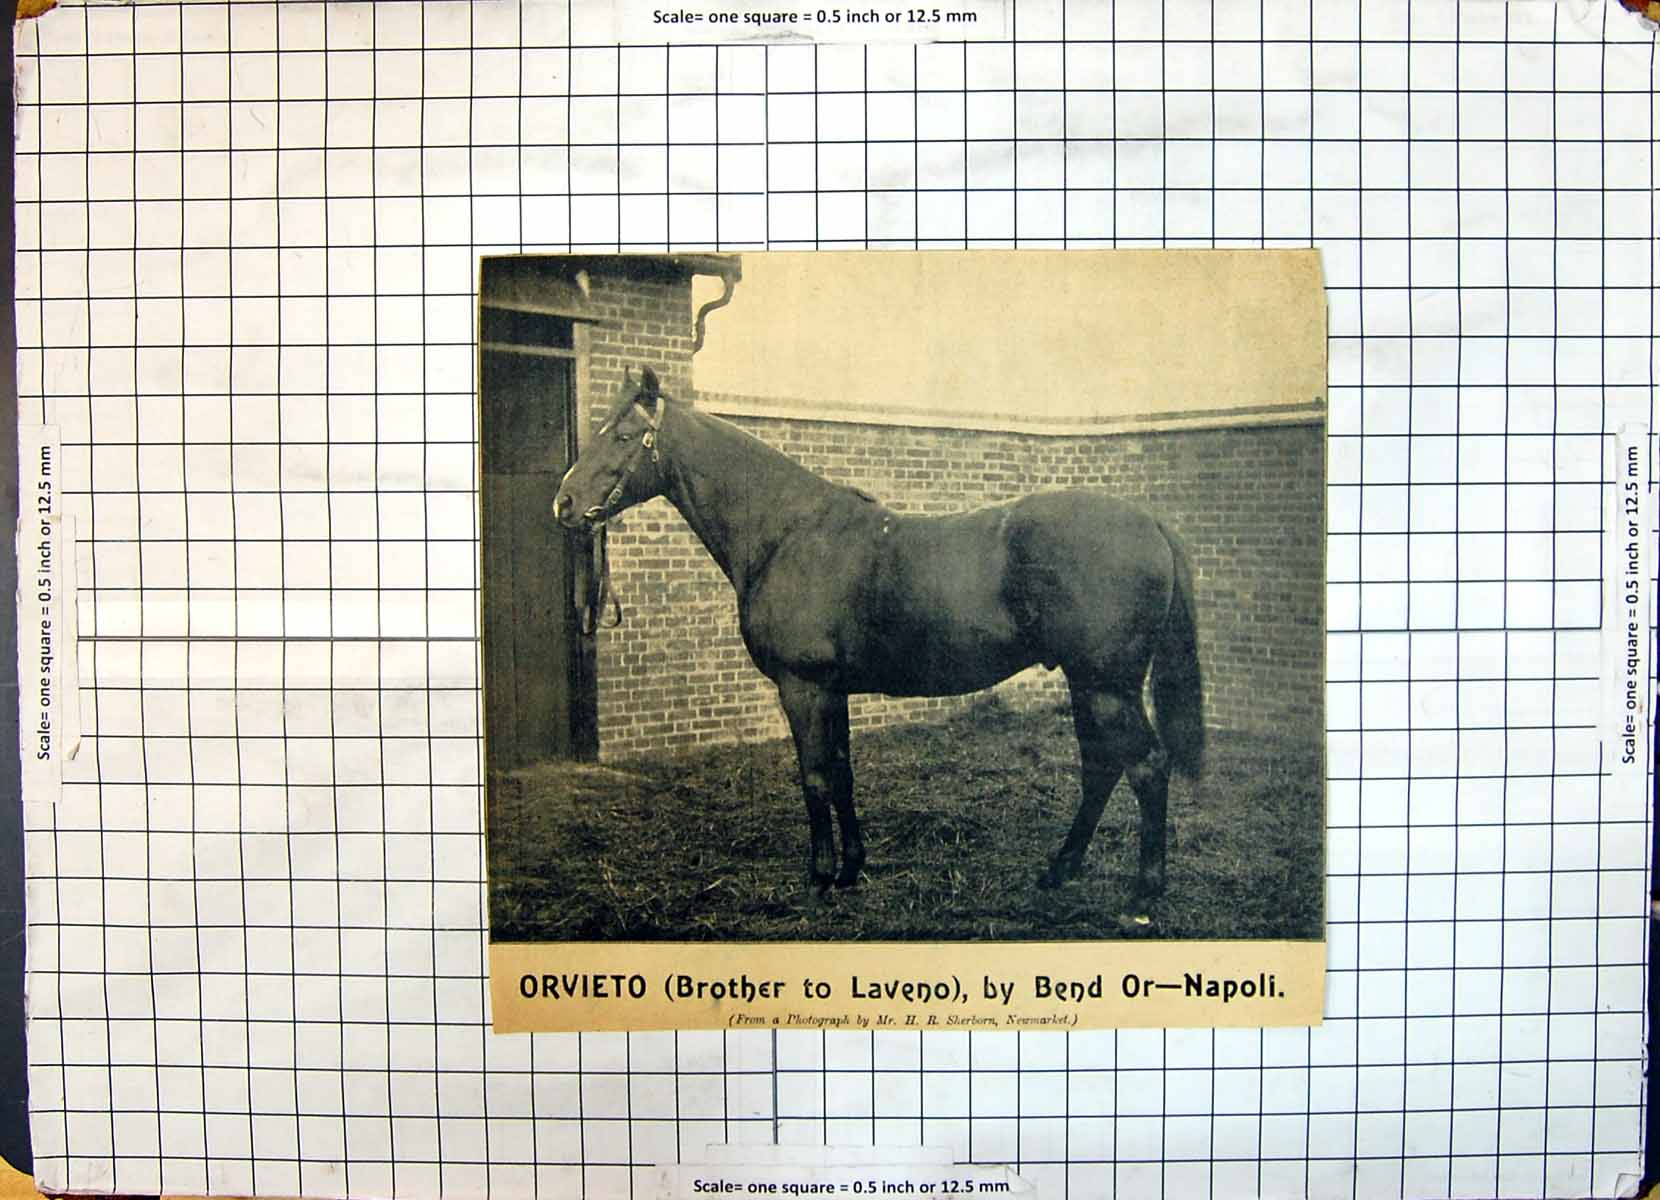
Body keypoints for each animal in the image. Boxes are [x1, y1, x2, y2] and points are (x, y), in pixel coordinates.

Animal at [552, 366, 1206, 900]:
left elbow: (815, 775)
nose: (564, 502)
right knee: (1102, 765)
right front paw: (850, 868)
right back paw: (1060, 869)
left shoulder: (803, 686)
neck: (786, 533)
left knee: (1146, 765)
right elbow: (841, 771)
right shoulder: (832, 689)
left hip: (1106, 684)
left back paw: (1144, 894)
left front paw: (820, 877)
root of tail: (1149, 522)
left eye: (621, 435)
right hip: (1088, 683)